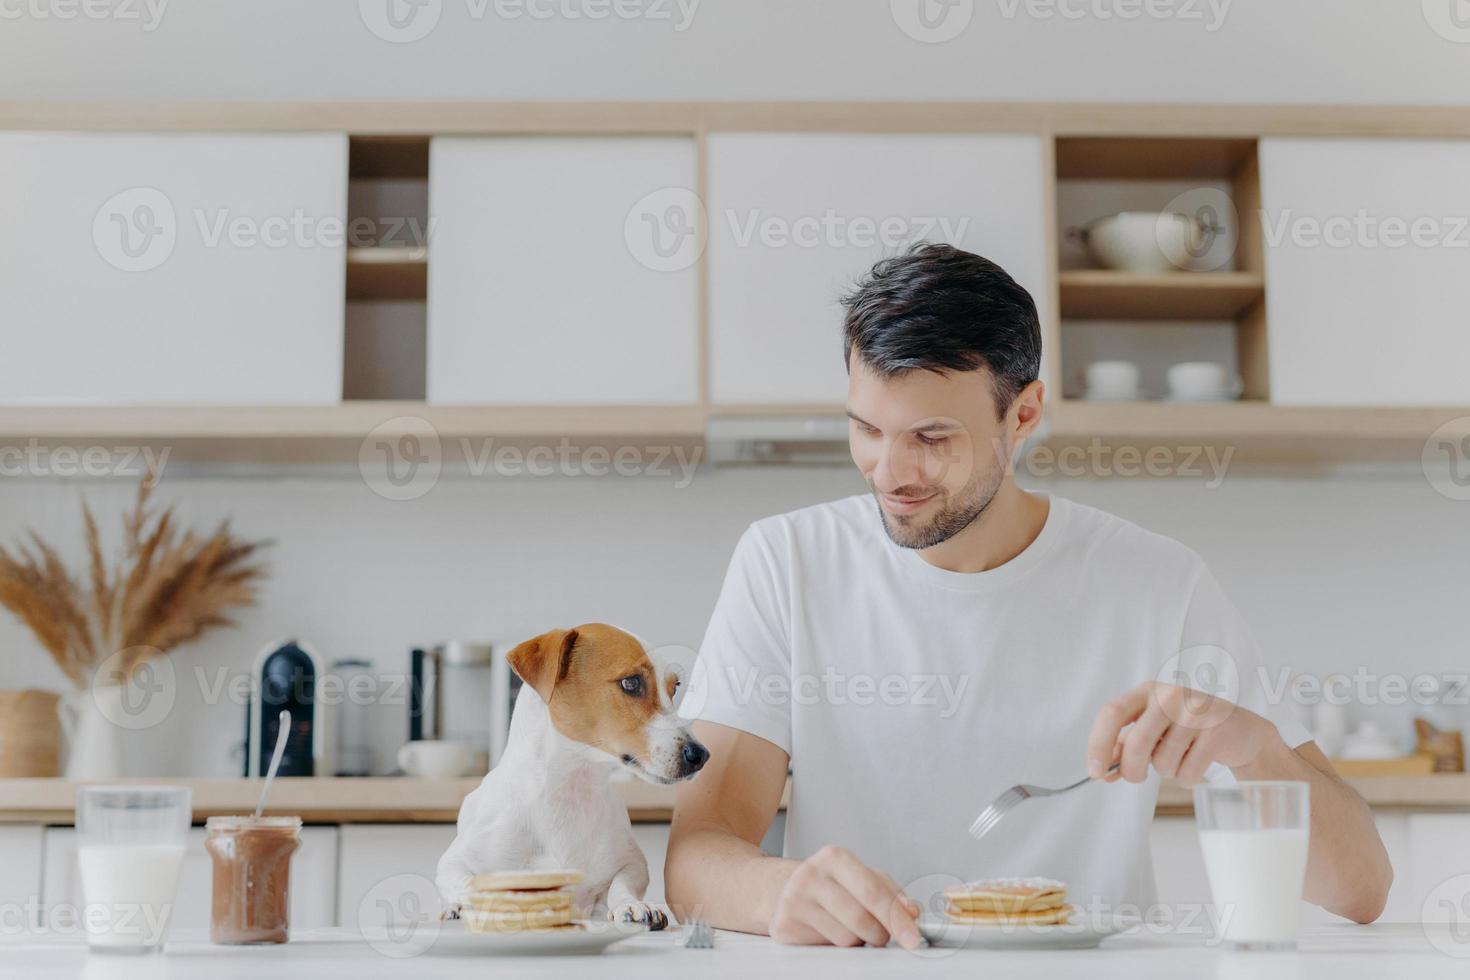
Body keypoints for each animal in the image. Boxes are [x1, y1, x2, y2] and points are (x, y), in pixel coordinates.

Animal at [432, 625, 708, 934]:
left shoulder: (632, 863)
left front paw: (632, 905)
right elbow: (470, 884)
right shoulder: (453, 862)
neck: (570, 787)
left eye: (675, 688)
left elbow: (621, 885)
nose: (700, 754)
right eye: (631, 683)